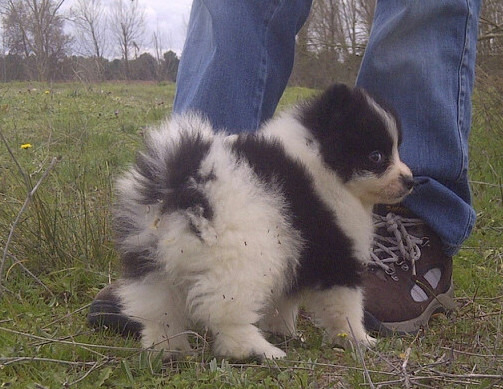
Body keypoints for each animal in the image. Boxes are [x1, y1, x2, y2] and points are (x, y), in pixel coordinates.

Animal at [113, 83, 414, 360]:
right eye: (376, 156)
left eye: (398, 149)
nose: (410, 180)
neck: (322, 160)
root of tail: (182, 183)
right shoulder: (335, 250)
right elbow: (346, 304)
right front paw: (359, 338)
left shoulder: (294, 250)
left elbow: (284, 301)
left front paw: (283, 332)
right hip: (240, 258)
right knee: (227, 314)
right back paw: (257, 350)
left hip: (151, 260)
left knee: (158, 310)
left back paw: (168, 349)